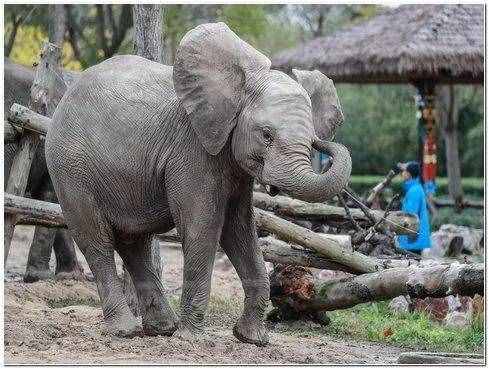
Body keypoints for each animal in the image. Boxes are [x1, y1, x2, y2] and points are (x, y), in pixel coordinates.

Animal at [44, 23, 350, 344]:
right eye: (266, 135)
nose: (323, 143)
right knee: (96, 239)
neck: (239, 88)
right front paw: (192, 337)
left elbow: (240, 228)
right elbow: (203, 225)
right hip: (70, 168)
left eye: (311, 139)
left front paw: (252, 339)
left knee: (133, 242)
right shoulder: (192, 151)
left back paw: (162, 328)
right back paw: (125, 331)